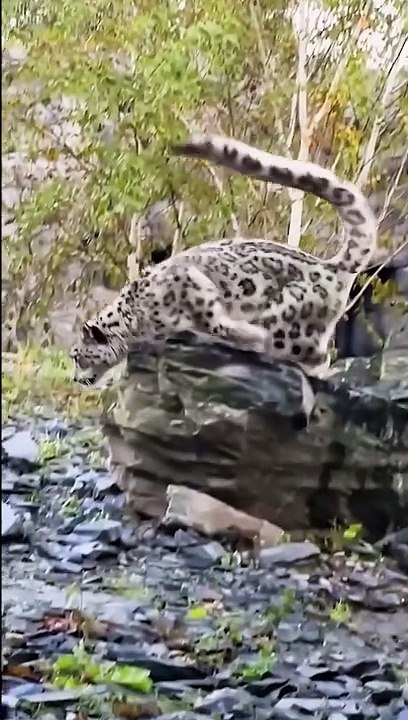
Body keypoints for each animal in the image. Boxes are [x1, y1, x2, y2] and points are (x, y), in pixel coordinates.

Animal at [70, 133, 377, 387]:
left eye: (77, 355)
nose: (75, 378)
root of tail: (330, 266)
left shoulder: (201, 302)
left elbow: (223, 326)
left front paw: (246, 338)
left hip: (288, 327)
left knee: (316, 356)